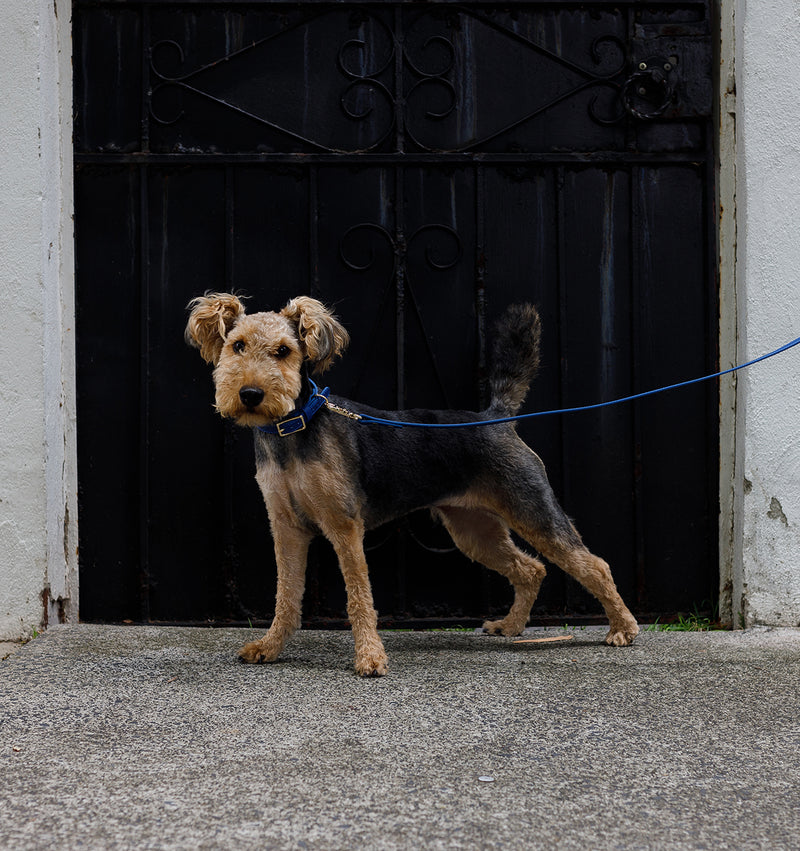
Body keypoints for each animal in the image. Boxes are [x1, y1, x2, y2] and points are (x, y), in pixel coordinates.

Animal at [186, 296, 636, 676]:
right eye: (237, 346)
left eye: (283, 351)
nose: (250, 394)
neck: (293, 429)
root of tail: (496, 417)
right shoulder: (286, 526)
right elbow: (286, 595)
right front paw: (270, 647)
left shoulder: (344, 526)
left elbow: (359, 597)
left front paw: (370, 657)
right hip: (473, 530)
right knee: (530, 568)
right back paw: (510, 626)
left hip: (533, 510)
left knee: (593, 565)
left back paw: (623, 628)